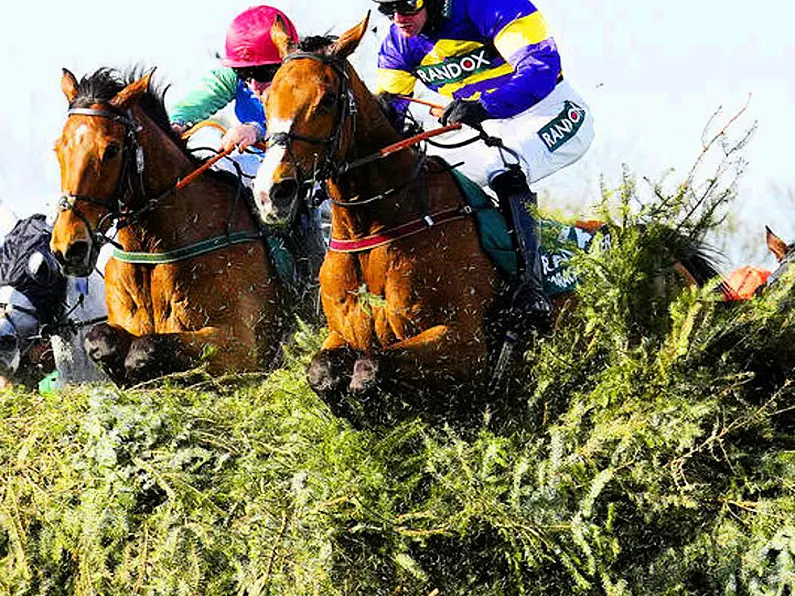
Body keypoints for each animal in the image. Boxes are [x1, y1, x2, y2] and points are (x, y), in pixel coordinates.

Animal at [49, 67, 280, 384]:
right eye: (58, 148)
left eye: (111, 150)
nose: (68, 249)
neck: (155, 250)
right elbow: (99, 340)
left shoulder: (243, 348)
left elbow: (146, 348)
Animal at [253, 14, 728, 422]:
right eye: (267, 96)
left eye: (327, 99)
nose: (273, 191)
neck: (379, 227)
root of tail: (669, 254)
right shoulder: (342, 335)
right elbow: (321, 371)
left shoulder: (464, 345)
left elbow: (370, 369)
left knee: (510, 172)